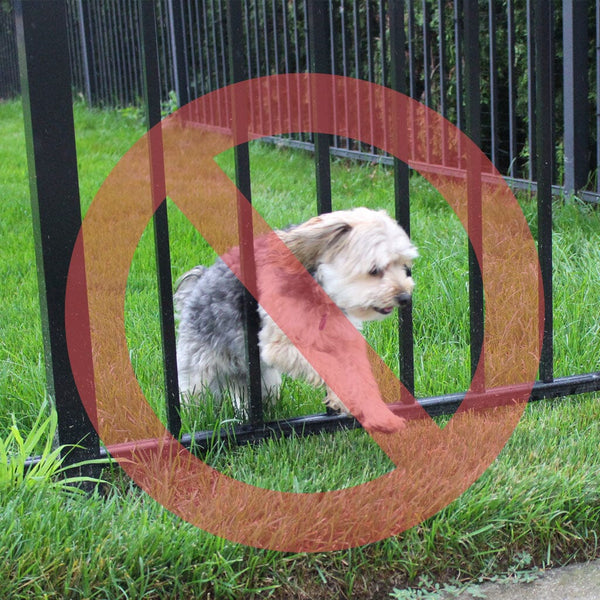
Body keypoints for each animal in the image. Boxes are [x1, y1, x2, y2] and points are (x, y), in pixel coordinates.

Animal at [173, 207, 418, 432]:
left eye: (403, 265)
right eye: (374, 270)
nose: (405, 297)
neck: (319, 288)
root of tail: (197, 284)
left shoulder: (345, 343)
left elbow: (361, 379)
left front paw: (380, 416)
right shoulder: (280, 346)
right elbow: (332, 368)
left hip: (262, 382)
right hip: (199, 376)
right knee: (196, 401)